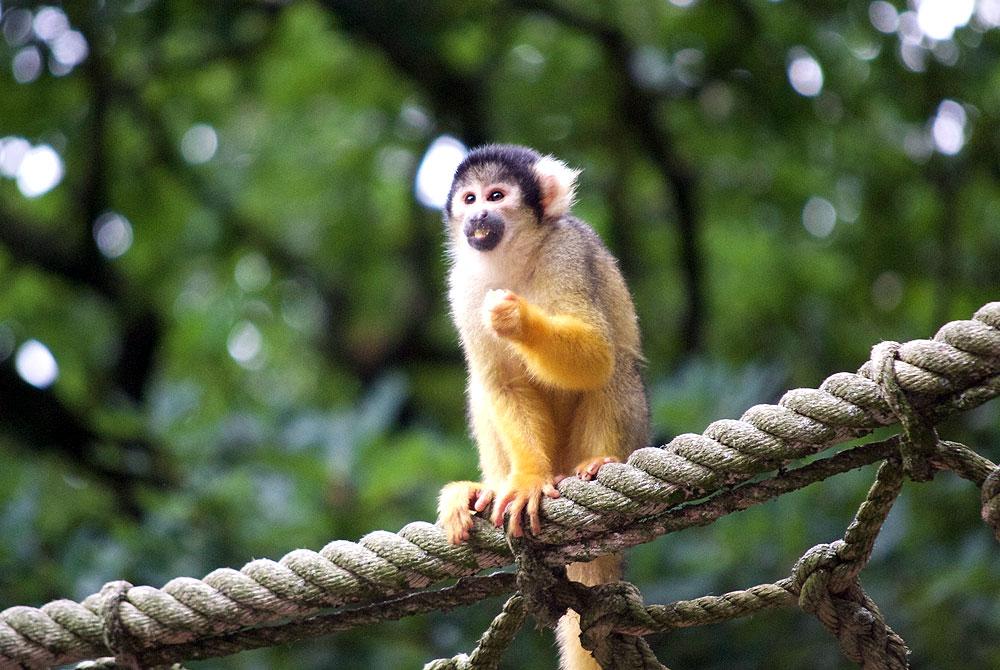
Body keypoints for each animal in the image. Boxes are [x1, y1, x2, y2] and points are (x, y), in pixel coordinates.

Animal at [438, 144, 648, 668]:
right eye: (470, 199)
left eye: (496, 195)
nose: (478, 216)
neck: (512, 258)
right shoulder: (461, 285)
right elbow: (503, 383)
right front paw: (529, 478)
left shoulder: (566, 251)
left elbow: (595, 355)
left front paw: (515, 318)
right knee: (483, 386)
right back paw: (488, 488)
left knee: (617, 364)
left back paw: (598, 462)